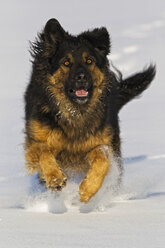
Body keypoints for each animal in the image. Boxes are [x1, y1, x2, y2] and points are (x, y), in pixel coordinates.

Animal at [24, 18, 155, 202]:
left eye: (89, 61)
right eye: (66, 63)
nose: (81, 77)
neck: (74, 112)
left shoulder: (99, 143)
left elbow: (102, 155)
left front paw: (88, 189)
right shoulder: (34, 144)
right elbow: (44, 151)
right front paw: (55, 177)